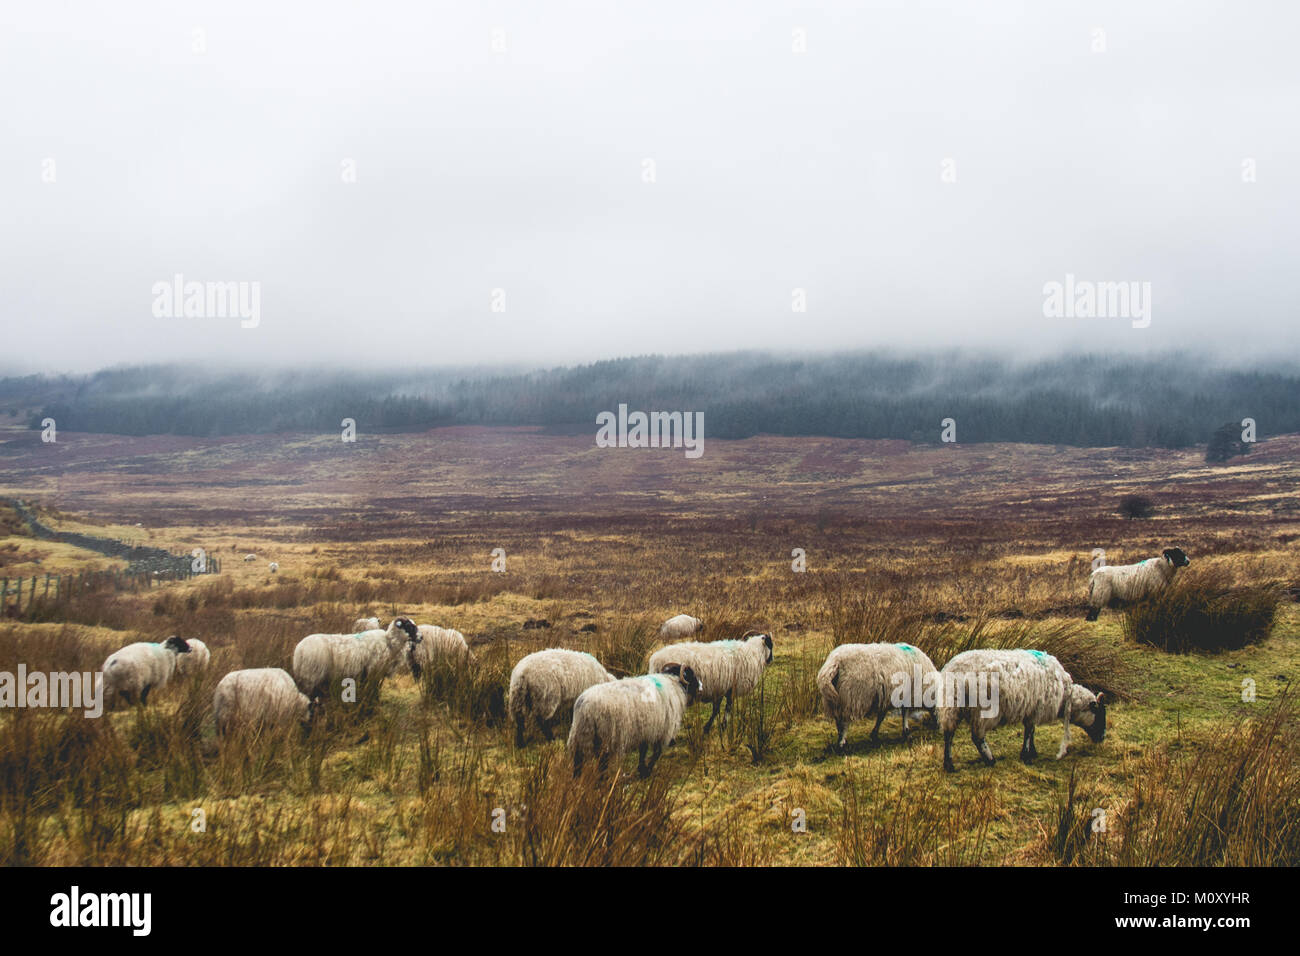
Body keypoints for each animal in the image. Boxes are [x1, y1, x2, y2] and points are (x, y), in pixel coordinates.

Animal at [572, 665, 702, 780]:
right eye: (691, 674)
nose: (700, 686)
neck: (672, 683)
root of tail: (585, 706)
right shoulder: (663, 730)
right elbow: (656, 753)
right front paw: (647, 771)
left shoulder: (646, 729)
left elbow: (643, 750)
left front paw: (642, 770)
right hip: (605, 736)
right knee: (602, 761)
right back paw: (602, 780)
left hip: (582, 733)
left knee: (578, 759)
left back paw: (576, 781)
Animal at [935, 647, 1107, 775]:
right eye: (1099, 714)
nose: (1102, 738)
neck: (1066, 695)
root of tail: (956, 672)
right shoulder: (1035, 708)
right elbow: (1029, 731)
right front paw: (1026, 756)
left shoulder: (1031, 709)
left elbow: (1032, 731)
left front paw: (1033, 751)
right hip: (982, 709)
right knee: (977, 737)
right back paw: (990, 760)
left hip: (951, 706)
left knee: (949, 734)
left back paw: (949, 764)